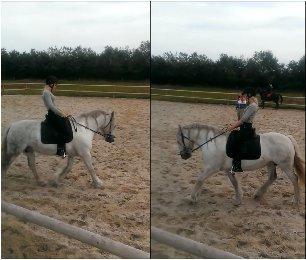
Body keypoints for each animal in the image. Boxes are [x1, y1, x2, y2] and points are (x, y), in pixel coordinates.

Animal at [176, 124, 304, 205]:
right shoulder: (227, 169)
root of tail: (287, 137)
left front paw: (191, 198)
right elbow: (234, 182)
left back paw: (296, 200)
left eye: (178, 141)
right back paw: (258, 194)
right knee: (272, 177)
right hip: (271, 163)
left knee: (294, 179)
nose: (184, 155)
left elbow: (199, 180)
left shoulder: (211, 168)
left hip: (285, 165)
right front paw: (238, 199)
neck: (213, 143)